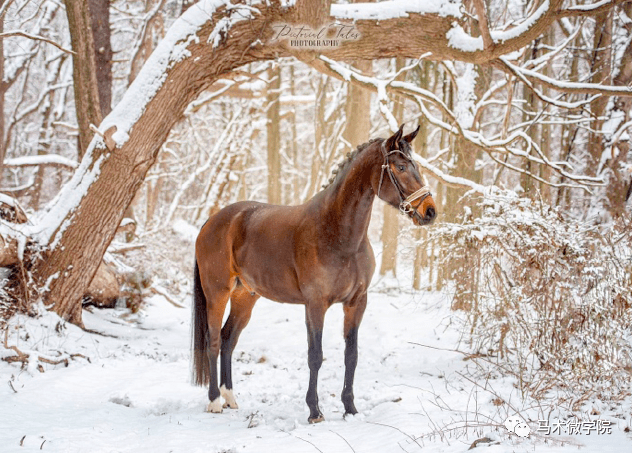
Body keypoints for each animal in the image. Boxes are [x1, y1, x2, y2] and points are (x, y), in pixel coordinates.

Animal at [193, 123, 436, 422]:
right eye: (400, 167)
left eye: (415, 165)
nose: (430, 211)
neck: (337, 234)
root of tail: (213, 220)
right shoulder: (315, 304)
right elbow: (315, 355)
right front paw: (314, 410)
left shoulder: (356, 302)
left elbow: (351, 355)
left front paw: (350, 408)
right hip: (217, 293)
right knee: (214, 341)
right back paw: (214, 400)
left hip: (245, 296)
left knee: (228, 340)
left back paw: (230, 397)